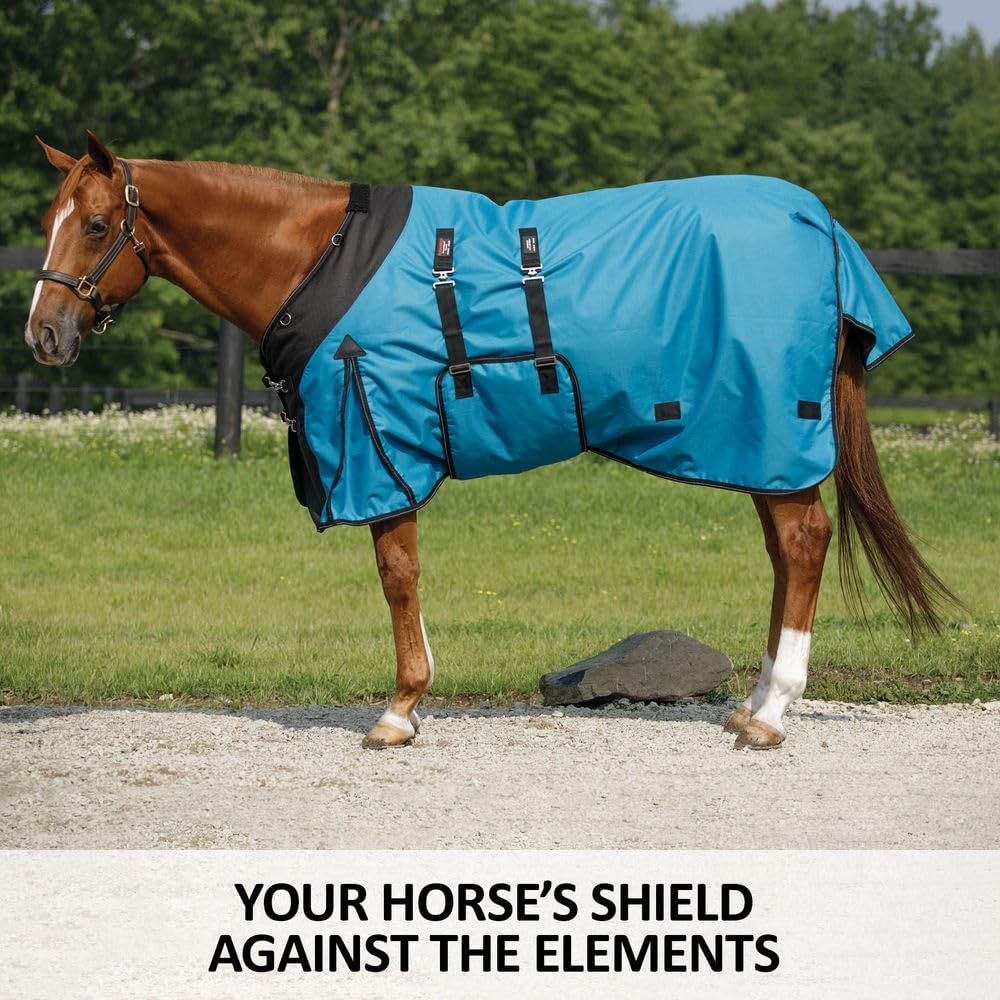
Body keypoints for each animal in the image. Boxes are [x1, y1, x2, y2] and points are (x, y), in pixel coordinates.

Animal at [25, 131, 957, 750]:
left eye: (98, 224)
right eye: (49, 220)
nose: (44, 335)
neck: (319, 258)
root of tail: (818, 221)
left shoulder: (382, 441)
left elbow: (397, 574)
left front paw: (400, 710)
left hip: (766, 432)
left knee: (802, 545)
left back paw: (768, 715)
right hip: (752, 445)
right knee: (786, 553)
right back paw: (755, 701)